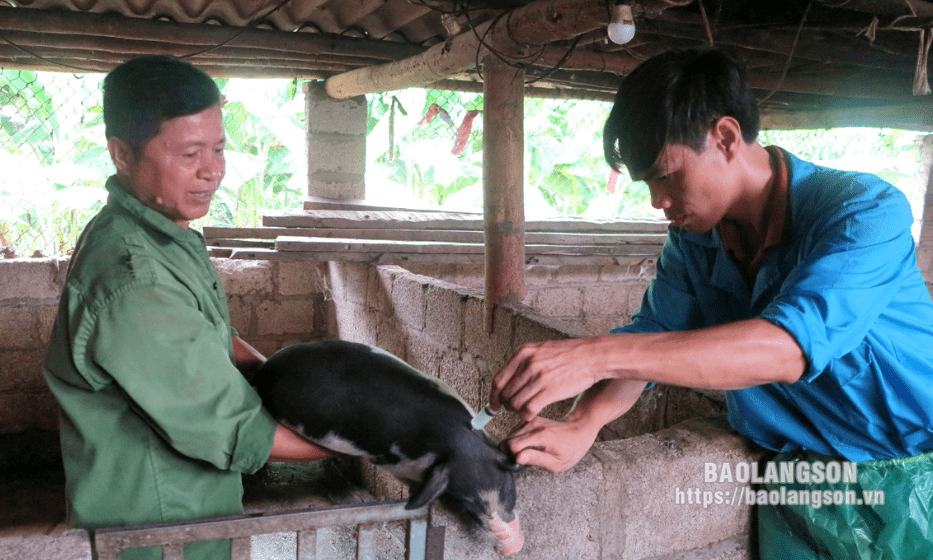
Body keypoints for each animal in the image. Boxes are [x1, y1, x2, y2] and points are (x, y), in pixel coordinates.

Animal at [249, 342, 524, 556]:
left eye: (505, 487)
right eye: (469, 501)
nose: (510, 543)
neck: (453, 438)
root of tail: (265, 369)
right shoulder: (400, 463)